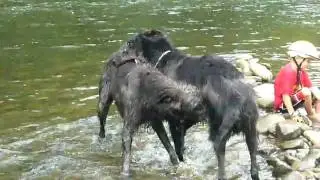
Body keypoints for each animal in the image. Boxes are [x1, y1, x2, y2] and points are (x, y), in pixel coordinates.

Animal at [122, 29, 260, 180]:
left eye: (130, 43)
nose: (121, 53)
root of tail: (238, 100)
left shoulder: (174, 120)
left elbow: (177, 147)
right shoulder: (187, 118)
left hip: (218, 133)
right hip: (251, 132)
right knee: (254, 168)